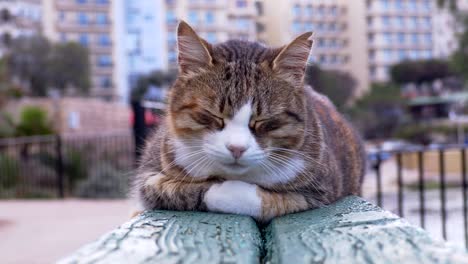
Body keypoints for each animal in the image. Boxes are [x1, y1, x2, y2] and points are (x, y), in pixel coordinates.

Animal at [132, 21, 366, 223]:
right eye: (213, 115)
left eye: (265, 120)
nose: (237, 148)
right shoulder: (150, 174)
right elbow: (178, 189)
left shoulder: (319, 190)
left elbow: (263, 200)